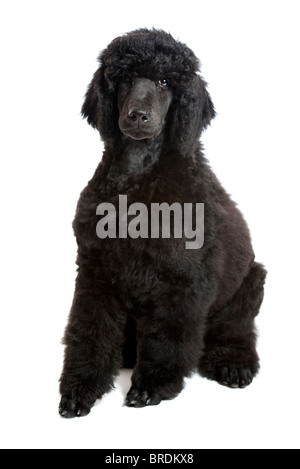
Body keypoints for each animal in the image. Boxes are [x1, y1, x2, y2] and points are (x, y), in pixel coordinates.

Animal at [59, 29, 268, 416]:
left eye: (164, 81)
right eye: (125, 78)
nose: (138, 116)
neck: (138, 178)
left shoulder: (182, 281)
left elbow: (168, 340)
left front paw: (152, 385)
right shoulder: (96, 273)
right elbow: (89, 331)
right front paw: (80, 388)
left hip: (250, 282)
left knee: (237, 330)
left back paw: (233, 362)